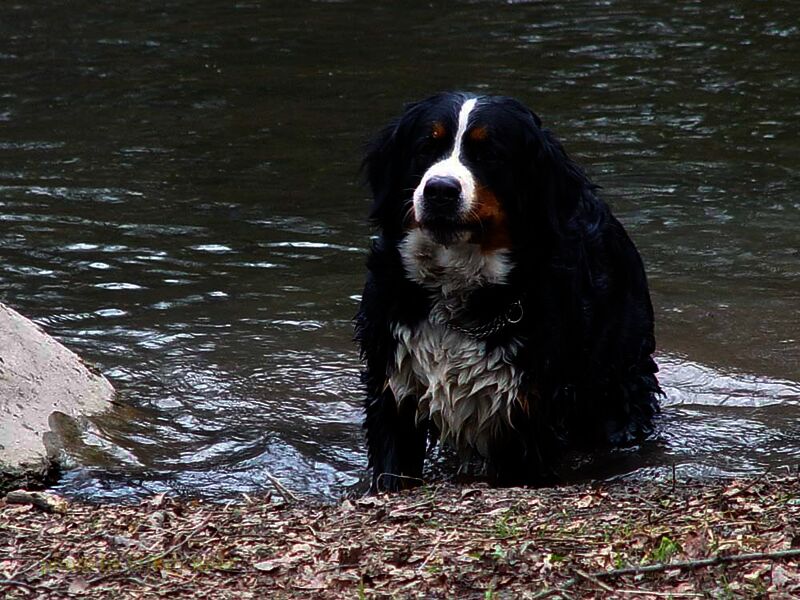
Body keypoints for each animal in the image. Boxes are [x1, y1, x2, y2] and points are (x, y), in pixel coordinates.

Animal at [355, 92, 660, 492]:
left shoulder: (531, 412)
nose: (440, 189)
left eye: (489, 154)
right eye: (426, 147)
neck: (457, 294)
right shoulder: (394, 389)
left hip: (621, 378)